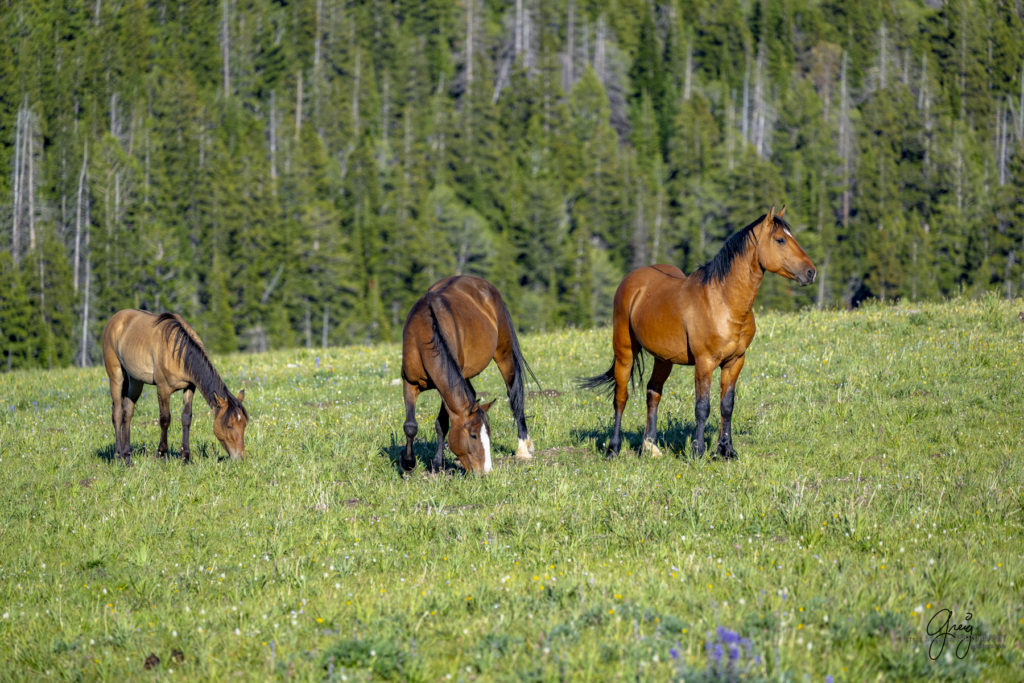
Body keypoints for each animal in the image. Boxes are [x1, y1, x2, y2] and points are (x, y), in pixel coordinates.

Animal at [99, 309, 247, 464]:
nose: (240, 457)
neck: (179, 353)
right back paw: (118, 455)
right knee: (117, 413)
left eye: (244, 424)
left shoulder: (190, 387)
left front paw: (185, 457)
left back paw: (127, 456)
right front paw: (162, 454)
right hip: (116, 376)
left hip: (135, 380)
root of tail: (115, 319)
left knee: (127, 412)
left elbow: (186, 418)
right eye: (229, 425)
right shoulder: (163, 389)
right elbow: (165, 419)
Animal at [401, 276, 540, 475]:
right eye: (473, 435)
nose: (487, 470)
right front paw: (408, 463)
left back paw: (523, 449)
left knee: (514, 395)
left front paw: (437, 464)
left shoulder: (446, 387)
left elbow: (442, 424)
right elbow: (410, 426)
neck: (425, 334)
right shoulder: (410, 382)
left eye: (488, 434)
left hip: (504, 354)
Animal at [585, 206, 815, 458]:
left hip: (663, 359)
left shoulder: (735, 362)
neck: (723, 302)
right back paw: (613, 449)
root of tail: (632, 281)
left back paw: (651, 446)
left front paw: (726, 450)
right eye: (780, 239)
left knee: (653, 392)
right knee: (621, 397)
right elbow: (702, 407)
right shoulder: (705, 363)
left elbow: (727, 405)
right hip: (624, 352)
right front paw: (698, 451)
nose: (811, 272)